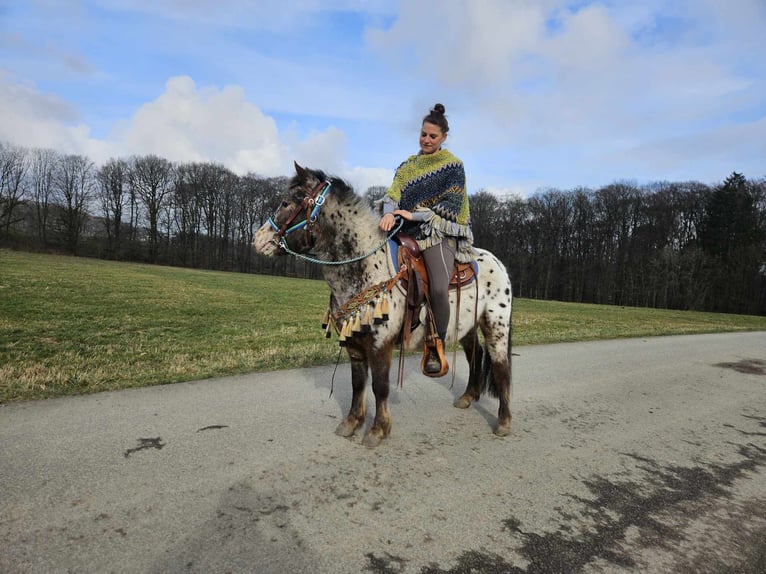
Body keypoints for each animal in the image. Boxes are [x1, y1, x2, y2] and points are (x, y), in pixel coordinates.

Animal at [254, 163, 516, 450]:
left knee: (501, 367)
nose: (258, 239)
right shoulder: (354, 343)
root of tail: (499, 264)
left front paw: (378, 430)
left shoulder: (381, 343)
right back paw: (468, 397)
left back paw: (504, 422)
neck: (366, 265)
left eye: (286, 202)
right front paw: (351, 423)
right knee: (475, 355)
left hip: (496, 325)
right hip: (466, 326)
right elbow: (358, 384)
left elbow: (380, 386)